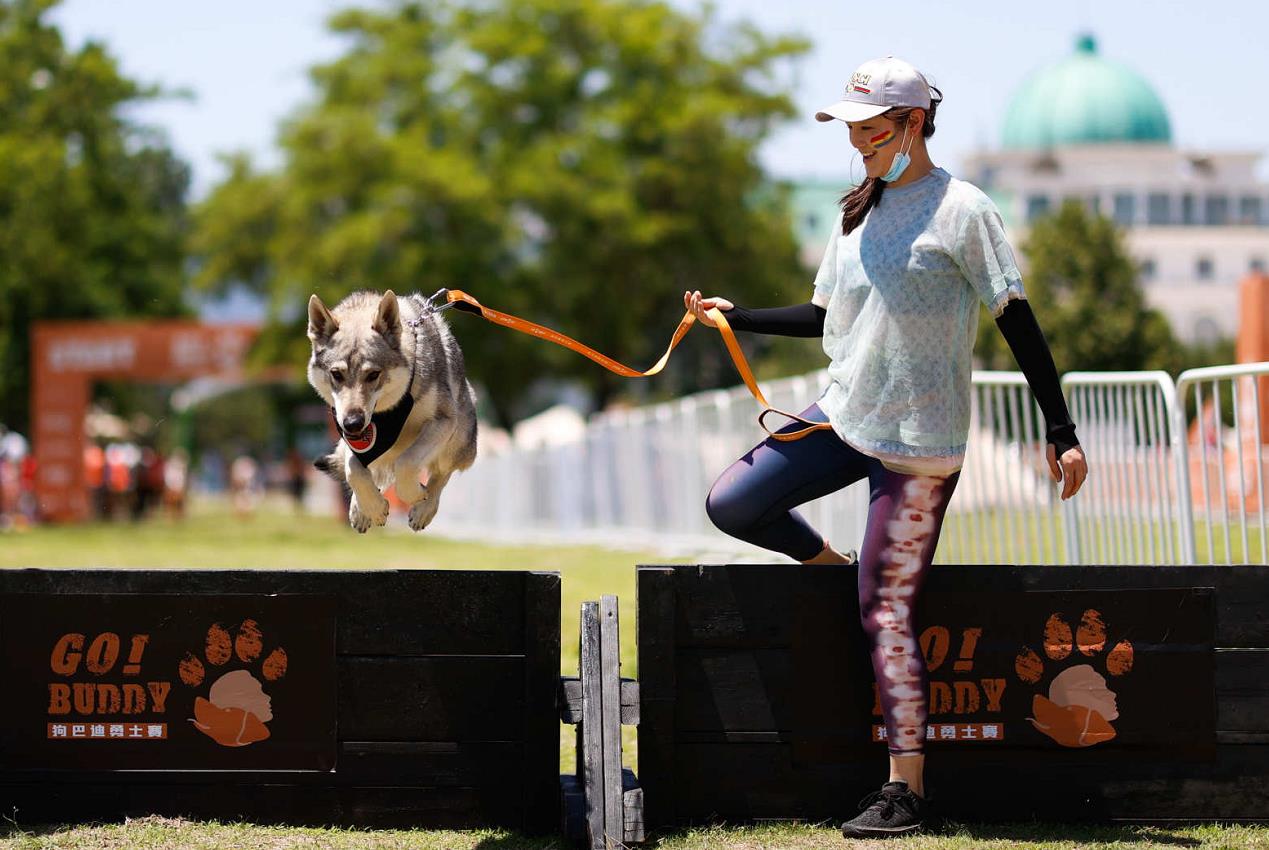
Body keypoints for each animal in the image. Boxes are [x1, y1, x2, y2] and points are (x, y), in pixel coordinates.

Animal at [305, 289, 477, 535]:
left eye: (373, 375)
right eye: (336, 374)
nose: (353, 423)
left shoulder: (443, 421)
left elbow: (406, 463)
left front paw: (415, 495)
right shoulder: (350, 437)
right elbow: (354, 469)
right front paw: (373, 508)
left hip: (457, 441)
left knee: (440, 474)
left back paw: (424, 510)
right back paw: (360, 510)